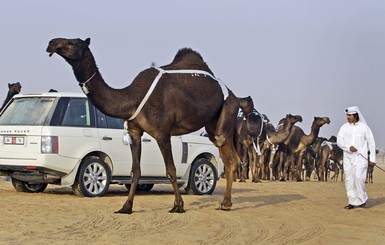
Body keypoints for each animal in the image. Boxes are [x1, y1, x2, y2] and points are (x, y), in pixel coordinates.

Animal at [45, 36, 252, 214]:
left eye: (74, 43)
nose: (52, 43)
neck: (131, 98)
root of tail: (236, 97)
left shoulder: (162, 133)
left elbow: (171, 170)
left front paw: (178, 206)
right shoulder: (134, 132)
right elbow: (135, 172)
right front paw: (126, 207)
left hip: (227, 110)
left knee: (228, 152)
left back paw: (225, 203)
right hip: (211, 122)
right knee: (228, 157)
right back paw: (225, 202)